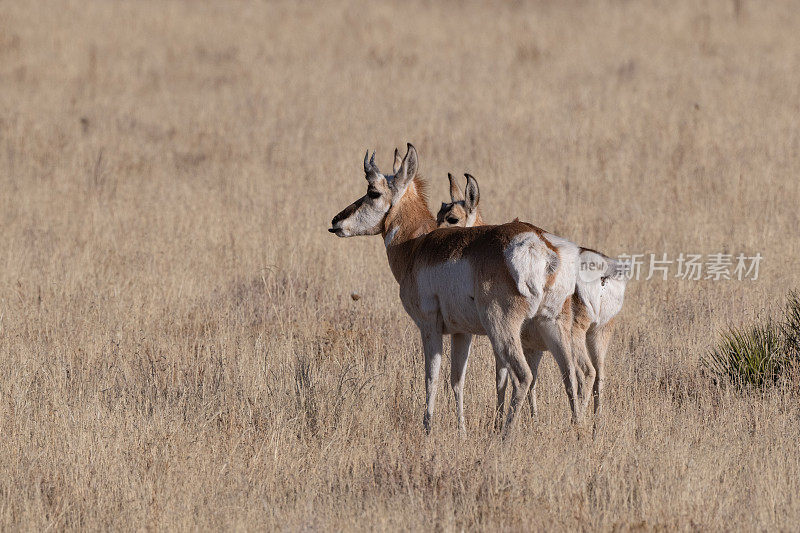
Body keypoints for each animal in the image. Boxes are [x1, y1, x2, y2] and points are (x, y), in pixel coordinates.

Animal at [330, 143, 580, 434]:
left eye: (373, 191)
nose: (335, 221)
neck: (417, 245)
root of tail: (539, 244)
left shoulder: (429, 327)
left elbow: (432, 376)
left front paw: (427, 428)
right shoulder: (462, 333)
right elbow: (457, 380)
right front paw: (461, 430)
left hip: (503, 329)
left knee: (523, 376)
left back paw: (504, 437)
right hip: (551, 325)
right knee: (570, 374)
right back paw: (580, 432)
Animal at [438, 172, 632, 418]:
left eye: (452, 218)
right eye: (439, 212)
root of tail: (604, 270)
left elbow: (503, 379)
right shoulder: (531, 346)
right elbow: (532, 380)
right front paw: (533, 418)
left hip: (574, 335)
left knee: (583, 372)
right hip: (599, 335)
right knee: (599, 376)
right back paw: (596, 423)